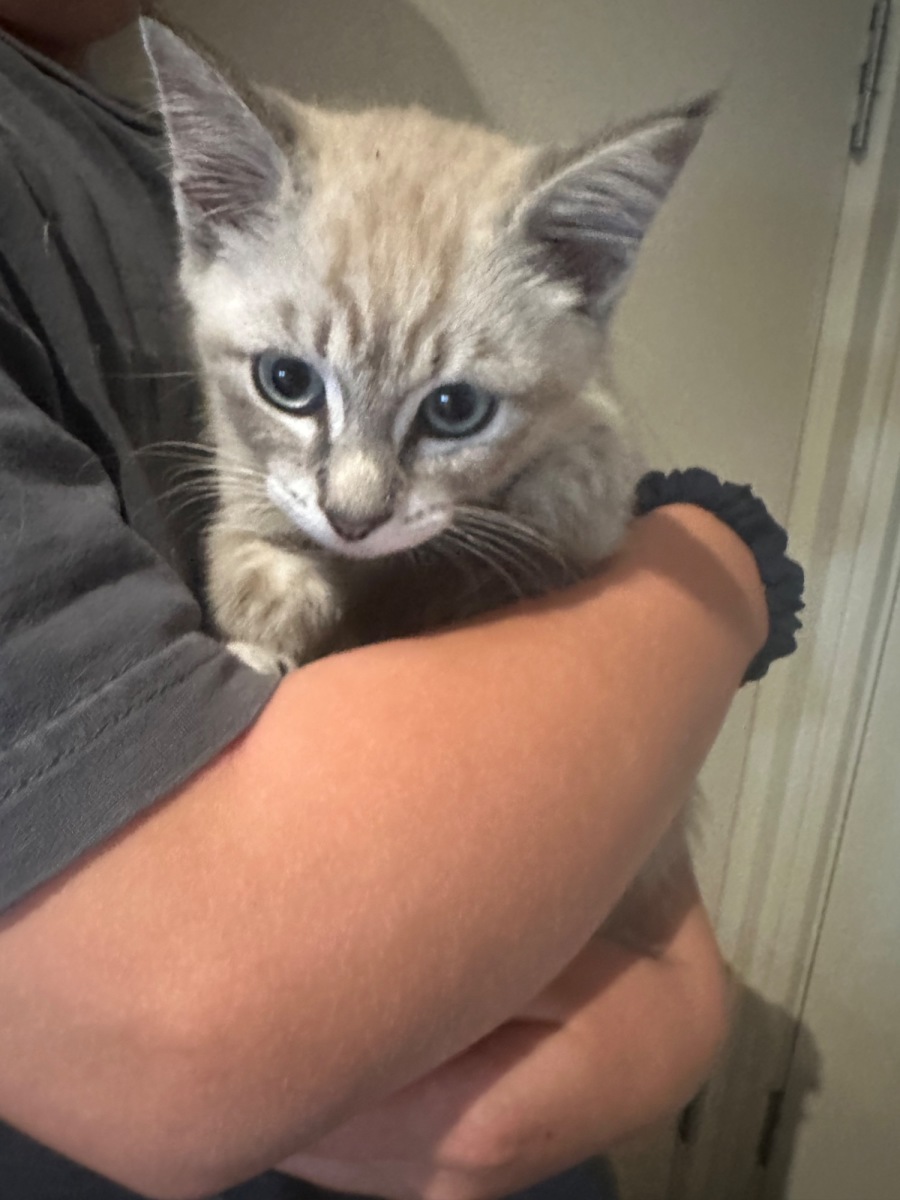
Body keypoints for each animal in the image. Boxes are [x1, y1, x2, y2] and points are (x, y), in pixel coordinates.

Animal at [142, 18, 710, 675]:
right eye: (287, 381)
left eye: (455, 409)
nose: (352, 522)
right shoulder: (240, 475)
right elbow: (249, 565)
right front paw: (274, 630)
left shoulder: (594, 469)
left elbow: (521, 549)